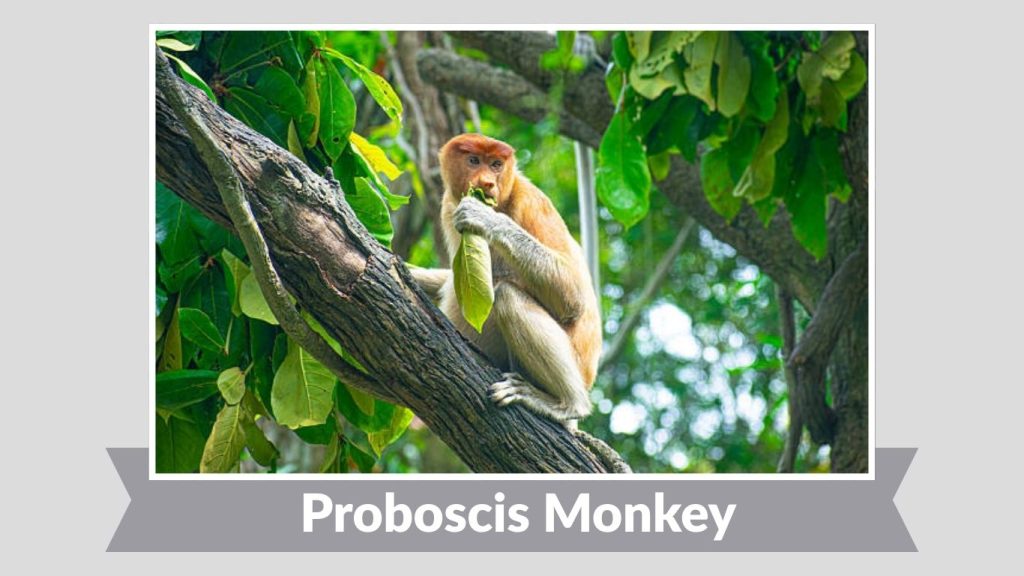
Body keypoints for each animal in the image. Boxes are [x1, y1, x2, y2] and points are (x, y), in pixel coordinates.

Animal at [410, 133, 602, 428]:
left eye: (496, 164)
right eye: (474, 160)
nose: (488, 183)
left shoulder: (530, 202)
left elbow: (573, 297)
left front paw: (485, 217)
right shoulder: (448, 206)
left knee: (508, 296)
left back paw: (568, 405)